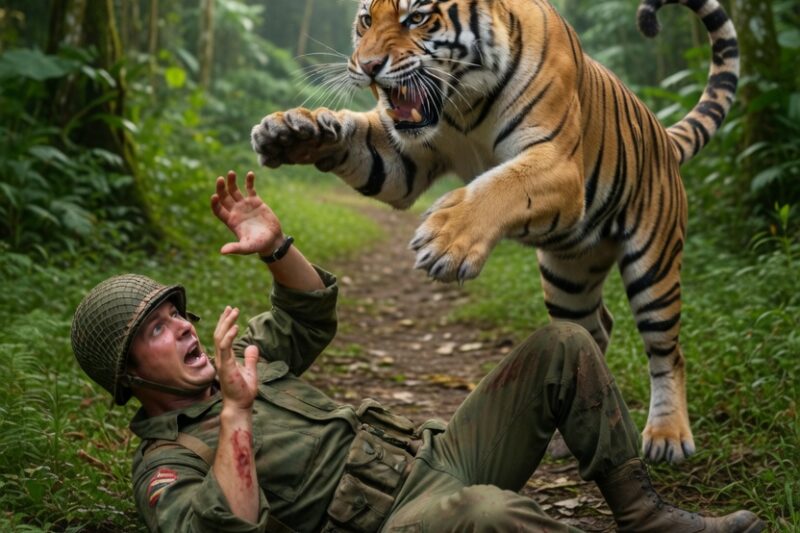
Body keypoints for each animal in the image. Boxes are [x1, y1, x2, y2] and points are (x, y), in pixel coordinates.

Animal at [250, 0, 739, 464]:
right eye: (367, 20)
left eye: (417, 18)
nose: (367, 66)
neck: (463, 104)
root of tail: (664, 136)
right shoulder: (400, 159)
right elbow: (357, 140)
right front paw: (292, 131)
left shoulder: (558, 163)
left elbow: (506, 183)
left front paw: (445, 241)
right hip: (569, 277)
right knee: (591, 330)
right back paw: (568, 433)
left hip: (654, 265)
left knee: (667, 350)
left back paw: (668, 437)